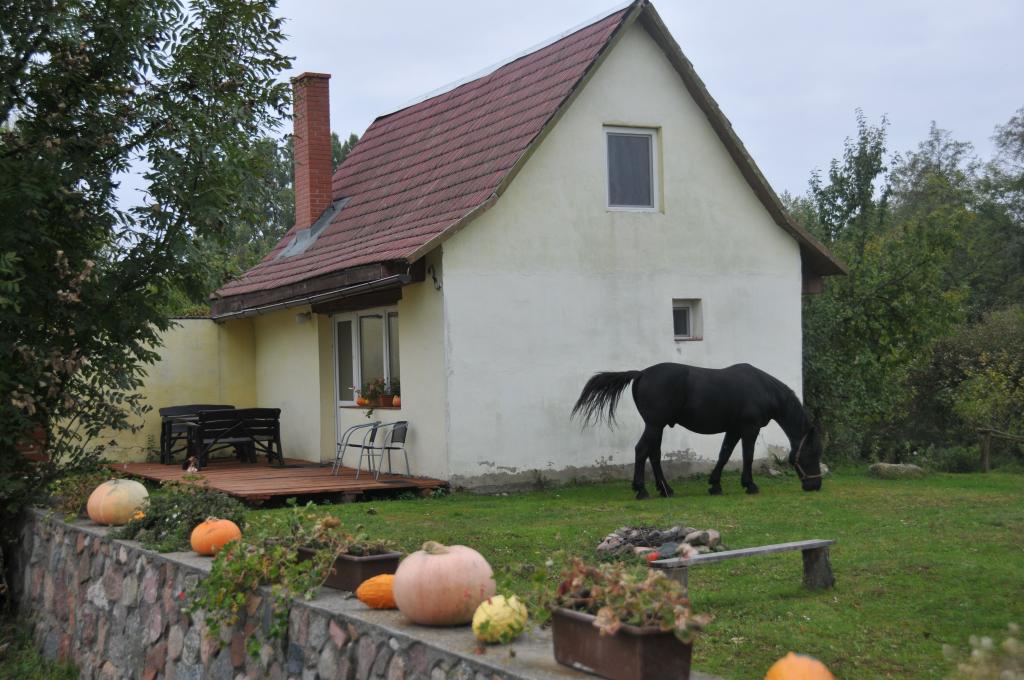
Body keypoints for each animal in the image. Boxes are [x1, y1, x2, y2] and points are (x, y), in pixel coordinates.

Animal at [573, 360, 827, 499]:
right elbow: (747, 456)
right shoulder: (749, 429)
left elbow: (724, 455)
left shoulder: (733, 430)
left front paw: (715, 485)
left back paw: (666, 490)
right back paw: (642, 490)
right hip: (654, 425)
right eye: (811, 454)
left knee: (653, 454)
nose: (815, 486)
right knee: (642, 451)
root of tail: (642, 373)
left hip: (657, 427)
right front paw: (750, 485)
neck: (762, 389)